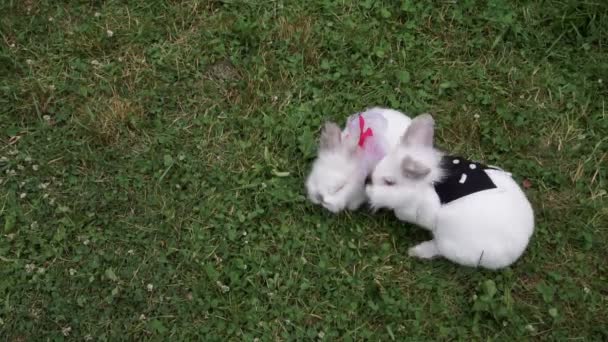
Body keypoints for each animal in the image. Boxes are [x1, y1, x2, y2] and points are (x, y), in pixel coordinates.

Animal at [366, 113, 532, 268]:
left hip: (450, 244)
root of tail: (521, 245)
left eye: (389, 182)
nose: (366, 185)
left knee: (438, 249)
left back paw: (415, 251)